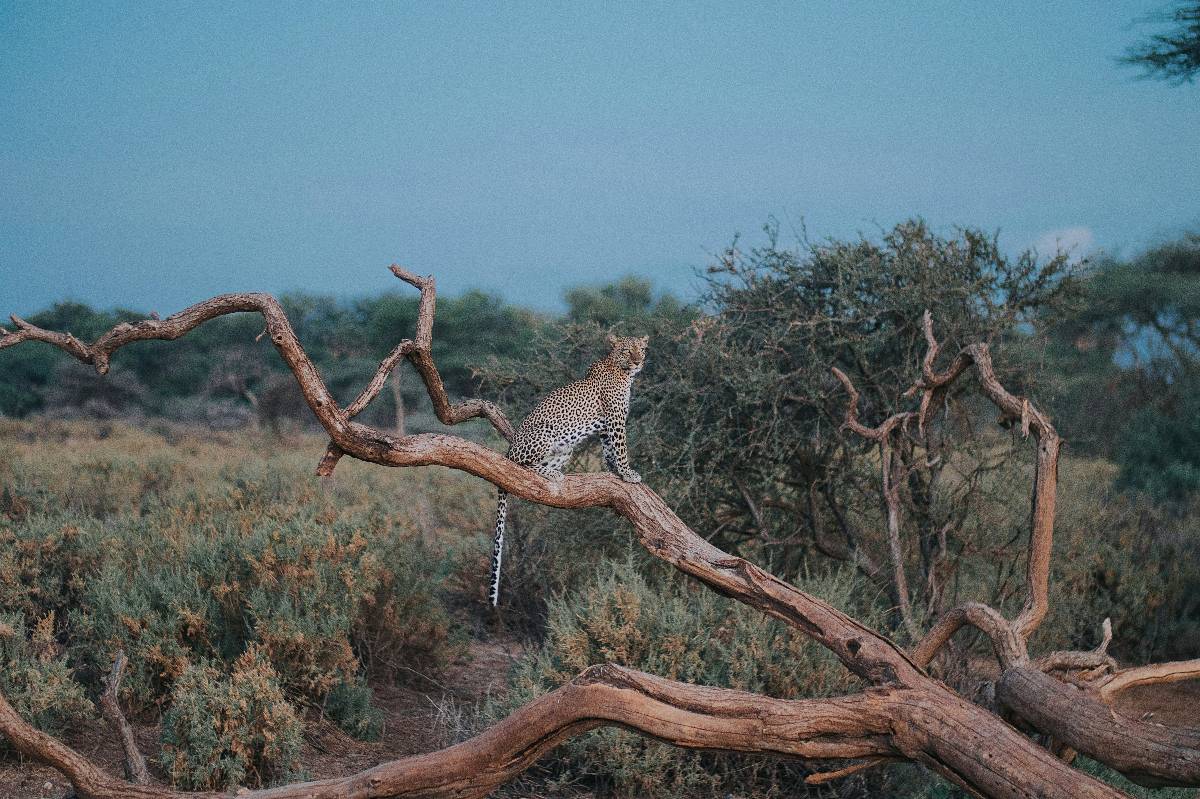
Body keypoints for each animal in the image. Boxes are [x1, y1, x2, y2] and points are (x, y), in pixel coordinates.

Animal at [488, 334, 649, 607]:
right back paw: (549, 474)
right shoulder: (615, 420)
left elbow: (609, 451)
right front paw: (628, 473)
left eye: (641, 349)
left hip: (565, 449)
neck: (623, 372)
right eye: (628, 350)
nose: (638, 361)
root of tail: (509, 449)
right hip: (545, 433)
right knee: (521, 466)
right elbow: (621, 449)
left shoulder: (605, 427)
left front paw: (614, 471)